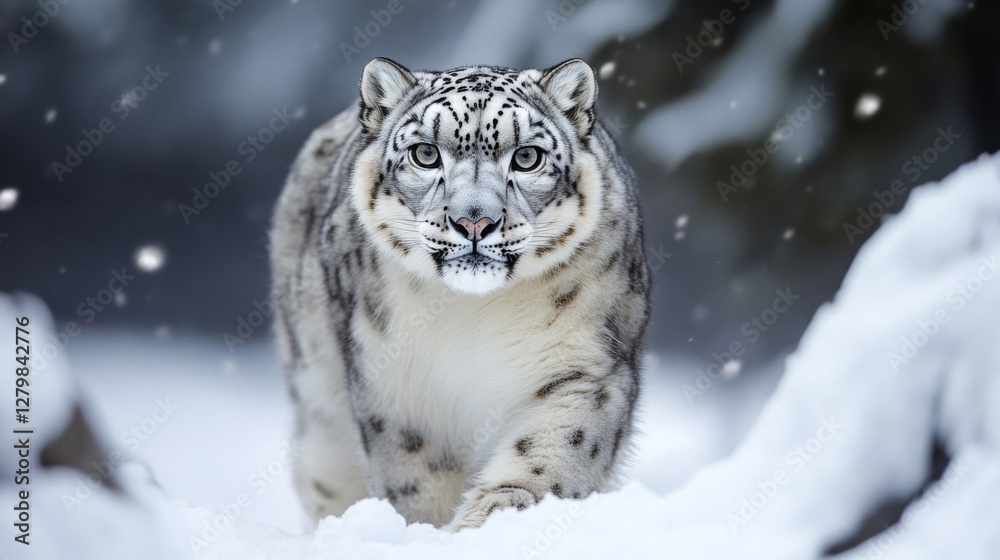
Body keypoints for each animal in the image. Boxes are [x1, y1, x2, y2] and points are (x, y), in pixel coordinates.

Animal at [269, 57, 650, 530]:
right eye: (426, 153)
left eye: (527, 157)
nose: (474, 221)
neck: (472, 313)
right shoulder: (394, 390)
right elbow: (417, 480)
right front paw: (427, 530)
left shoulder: (586, 370)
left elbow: (550, 459)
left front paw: (493, 521)